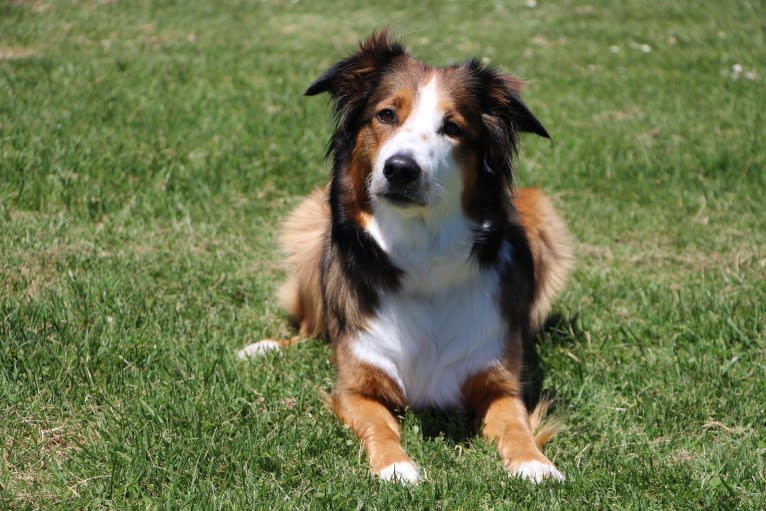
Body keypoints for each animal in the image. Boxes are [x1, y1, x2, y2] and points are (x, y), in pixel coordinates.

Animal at [238, 30, 568, 486]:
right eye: (386, 115)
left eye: (452, 128)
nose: (400, 169)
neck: (421, 258)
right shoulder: (355, 388)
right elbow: (380, 424)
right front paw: (396, 466)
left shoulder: (500, 383)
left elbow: (515, 423)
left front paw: (535, 463)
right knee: (310, 326)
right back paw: (264, 348)